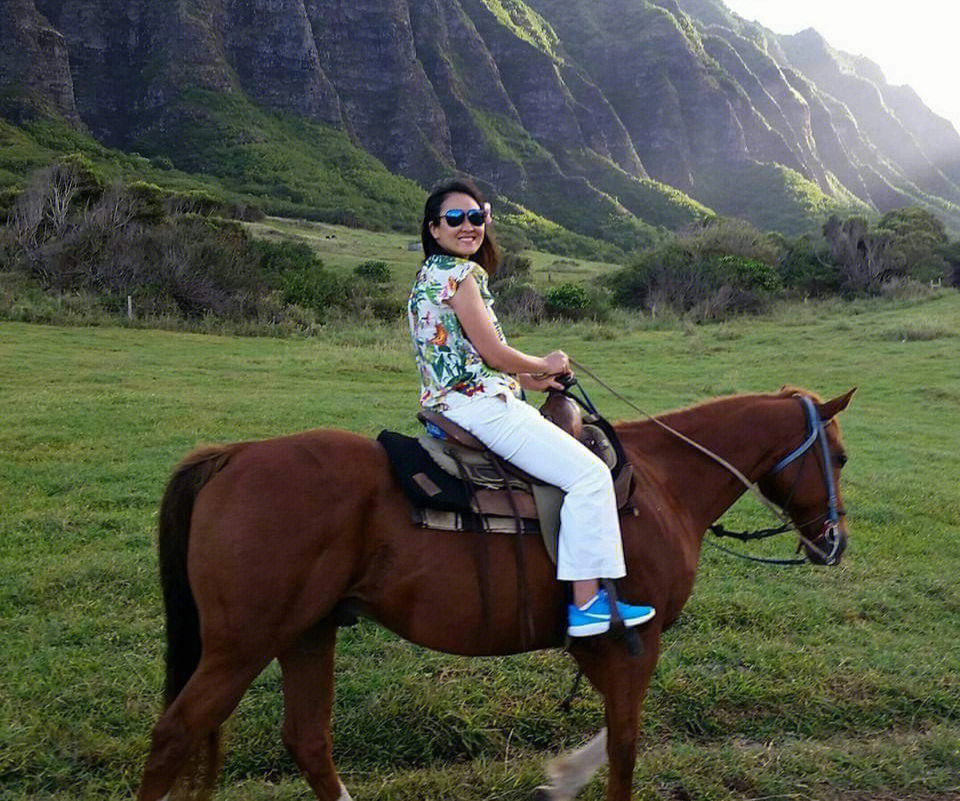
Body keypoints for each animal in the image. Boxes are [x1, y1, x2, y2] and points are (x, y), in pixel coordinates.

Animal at [135, 384, 856, 796]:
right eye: (842, 458)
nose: (835, 541)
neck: (660, 483)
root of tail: (231, 455)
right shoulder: (635, 639)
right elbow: (626, 744)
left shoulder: (604, 646)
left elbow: (615, 732)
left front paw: (561, 778)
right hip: (242, 645)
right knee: (174, 737)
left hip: (308, 631)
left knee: (308, 740)